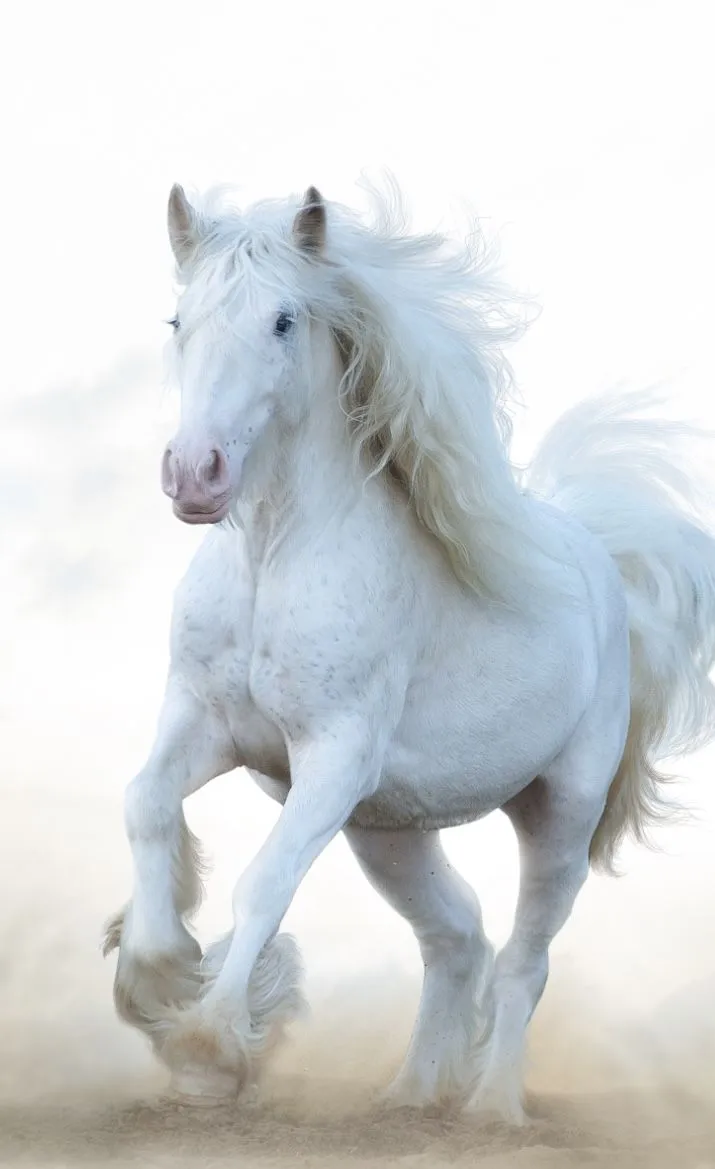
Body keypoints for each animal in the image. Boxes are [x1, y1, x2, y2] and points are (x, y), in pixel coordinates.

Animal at [104, 179, 715, 1122]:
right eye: (179, 318)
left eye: (283, 320)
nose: (195, 474)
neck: (272, 561)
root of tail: (600, 565)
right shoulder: (206, 723)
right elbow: (144, 804)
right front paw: (156, 968)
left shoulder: (333, 756)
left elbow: (263, 882)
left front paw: (207, 1048)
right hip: (386, 831)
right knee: (456, 934)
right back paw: (409, 1096)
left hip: (558, 814)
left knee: (524, 960)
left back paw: (491, 1110)